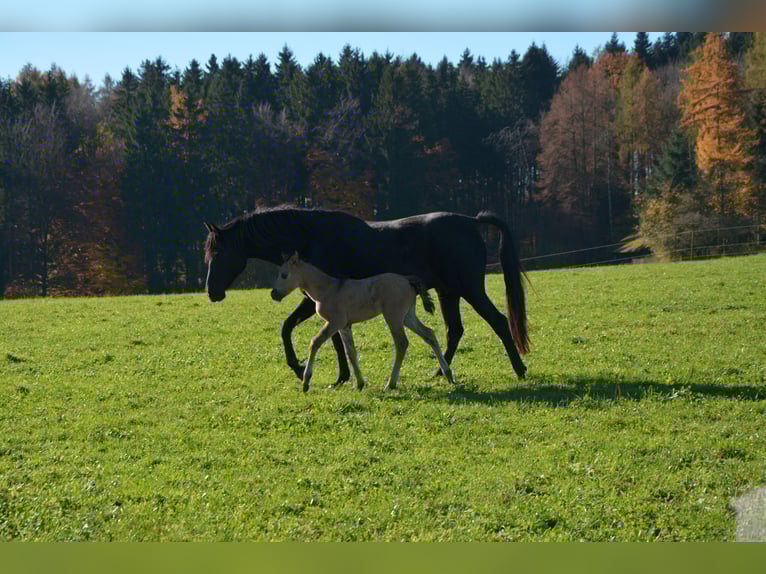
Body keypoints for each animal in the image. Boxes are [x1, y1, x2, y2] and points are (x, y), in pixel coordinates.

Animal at [270, 252, 456, 392]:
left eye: (284, 275)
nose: (274, 294)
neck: (329, 288)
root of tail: (408, 280)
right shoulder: (345, 326)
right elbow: (350, 352)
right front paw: (359, 383)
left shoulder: (335, 322)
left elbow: (315, 342)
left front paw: (306, 381)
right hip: (407, 316)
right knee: (429, 334)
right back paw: (448, 374)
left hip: (393, 316)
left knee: (402, 343)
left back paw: (391, 384)